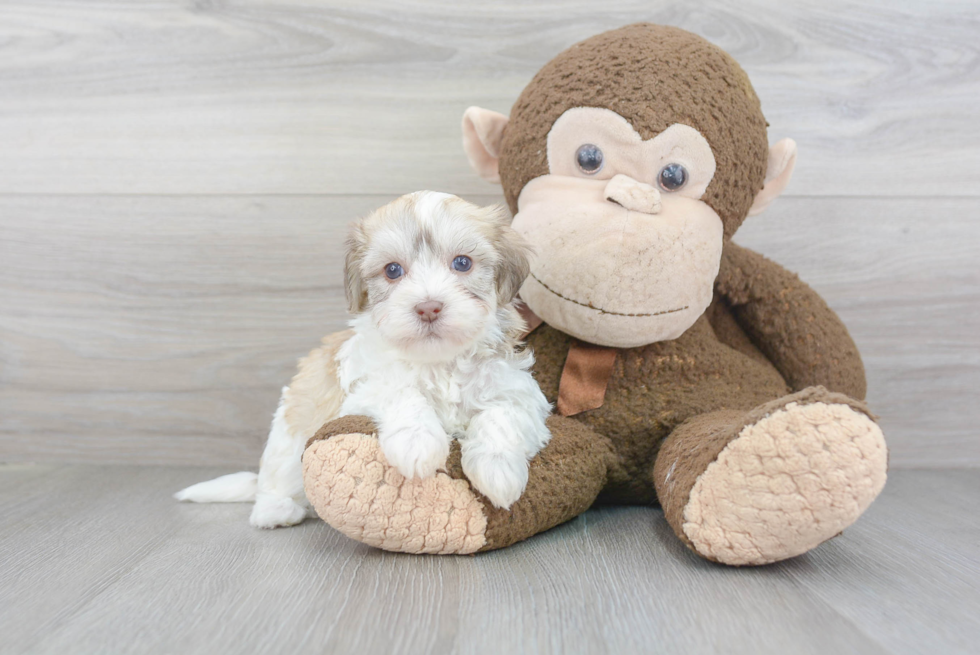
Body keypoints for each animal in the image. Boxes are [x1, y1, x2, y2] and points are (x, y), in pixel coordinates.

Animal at [175, 191, 552, 528]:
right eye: (393, 270)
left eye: (462, 263)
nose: (428, 307)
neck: (439, 362)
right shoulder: (362, 392)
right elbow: (401, 392)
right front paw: (417, 442)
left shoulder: (517, 389)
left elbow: (503, 414)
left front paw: (498, 469)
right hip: (287, 438)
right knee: (276, 478)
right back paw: (277, 510)